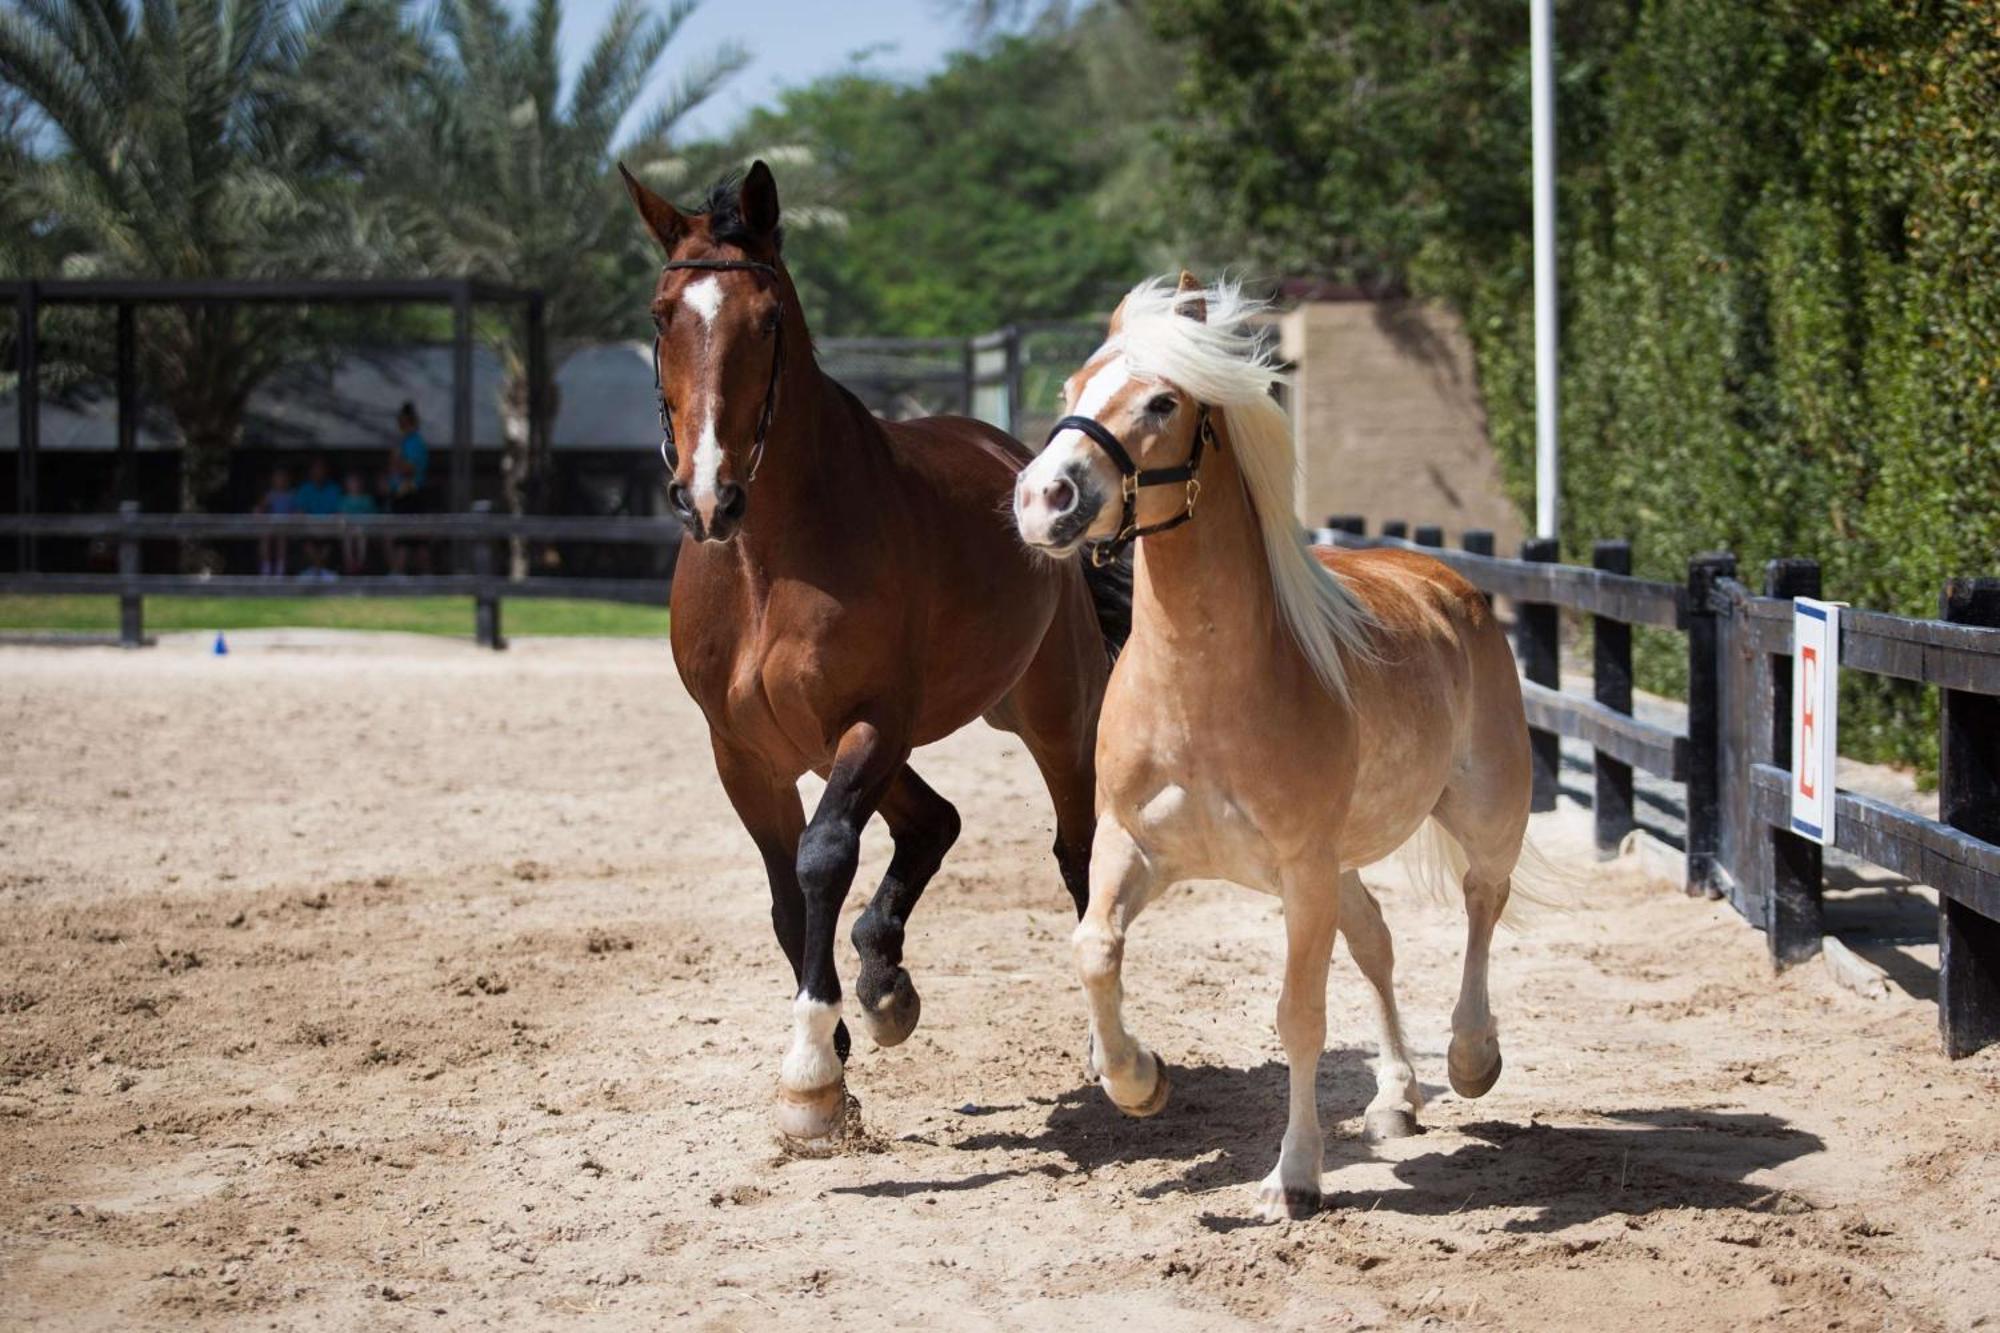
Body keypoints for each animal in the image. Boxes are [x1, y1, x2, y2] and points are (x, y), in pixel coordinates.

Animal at [620, 161, 1128, 1136]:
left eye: (767, 319)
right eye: (662, 317)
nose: (707, 496)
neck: (766, 559)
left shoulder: (872, 722)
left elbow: (823, 857)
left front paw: (814, 1072)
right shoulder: (746, 753)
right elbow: (786, 893)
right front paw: (841, 1043)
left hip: (1051, 718)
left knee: (1077, 851)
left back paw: (1107, 1046)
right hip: (845, 745)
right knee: (934, 822)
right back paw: (884, 978)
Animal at [1008, 270, 1536, 1216]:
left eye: (1162, 401)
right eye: (1072, 389)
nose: (1043, 499)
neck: (1205, 685)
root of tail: (1449, 584)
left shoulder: (1300, 871)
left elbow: (1299, 1016)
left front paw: (1294, 1175)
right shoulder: (1131, 846)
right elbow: (1094, 951)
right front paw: (1140, 1079)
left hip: (1482, 812)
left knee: (1482, 900)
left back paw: (1470, 1056)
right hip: (1343, 864)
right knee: (1378, 939)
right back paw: (1396, 1097)